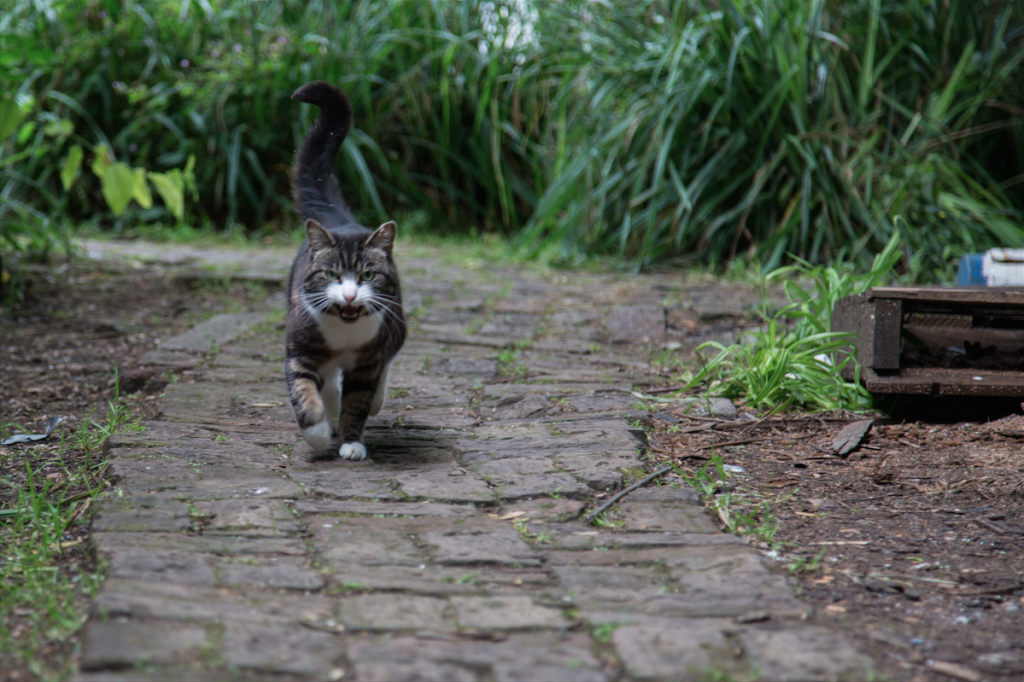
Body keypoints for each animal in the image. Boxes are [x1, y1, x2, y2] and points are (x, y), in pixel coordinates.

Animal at [286, 82, 405, 458]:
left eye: (367, 276)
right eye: (332, 275)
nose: (351, 295)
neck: (344, 331)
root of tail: (340, 221)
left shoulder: (368, 360)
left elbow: (359, 400)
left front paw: (352, 442)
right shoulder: (299, 352)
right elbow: (303, 393)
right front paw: (319, 434)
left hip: (396, 324)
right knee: (325, 386)